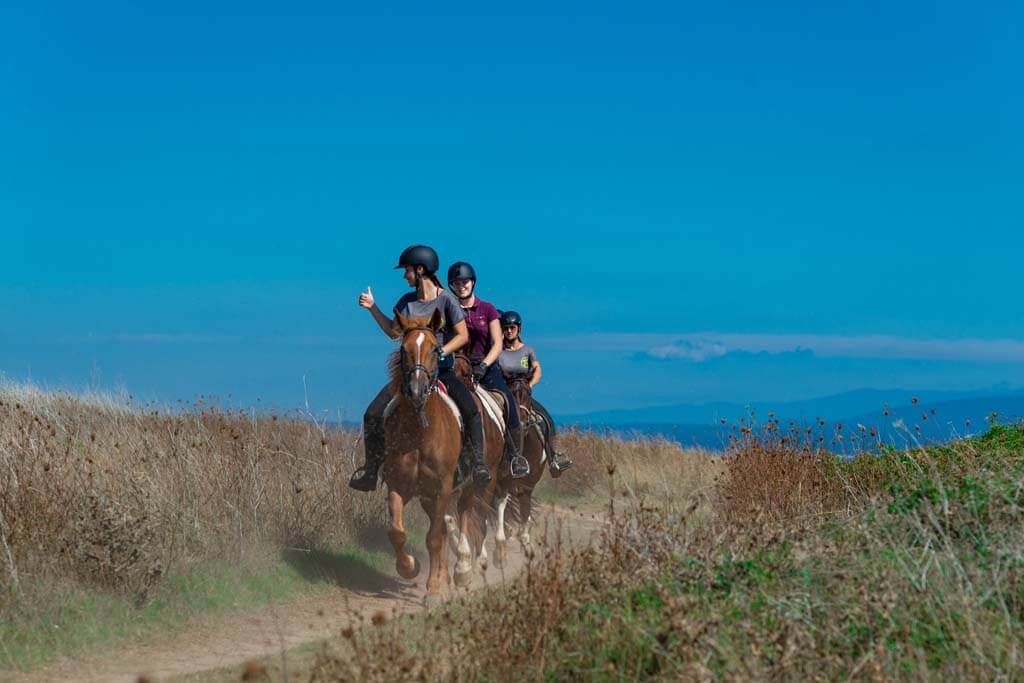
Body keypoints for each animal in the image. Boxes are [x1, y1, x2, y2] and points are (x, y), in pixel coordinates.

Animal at [381, 311, 501, 598]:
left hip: (475, 485)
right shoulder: (398, 485)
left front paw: (434, 590)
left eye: (436, 349)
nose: (416, 390)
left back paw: (463, 571)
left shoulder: (443, 486)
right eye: (403, 349)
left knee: (470, 519)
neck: (419, 430)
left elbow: (434, 538)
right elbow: (396, 532)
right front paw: (409, 567)